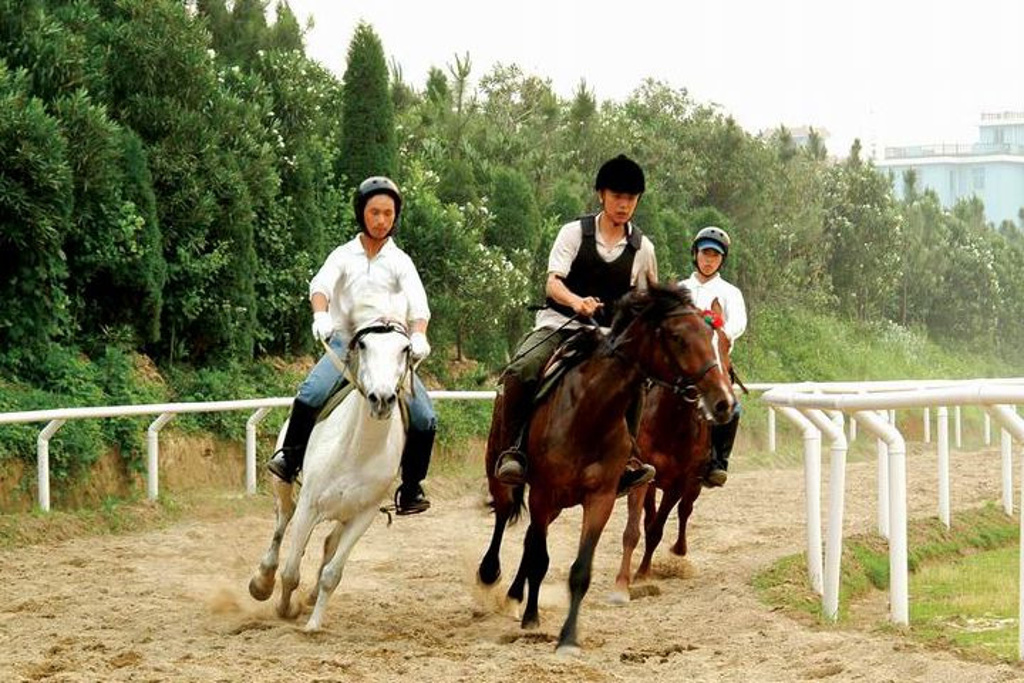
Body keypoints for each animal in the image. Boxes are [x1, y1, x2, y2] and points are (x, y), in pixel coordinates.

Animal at [248, 306, 413, 632]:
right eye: (364, 345)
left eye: (404, 349)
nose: (382, 399)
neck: (357, 449)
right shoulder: (309, 504)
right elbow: (290, 571)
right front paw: (285, 609)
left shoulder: (364, 515)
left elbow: (332, 574)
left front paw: (313, 623)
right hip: (284, 487)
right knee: (282, 524)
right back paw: (262, 581)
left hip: (344, 512)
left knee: (327, 544)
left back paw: (310, 598)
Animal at [611, 299, 736, 602]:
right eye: (686, 341)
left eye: (726, 342)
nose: (724, 400)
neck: (669, 421)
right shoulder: (643, 474)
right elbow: (634, 530)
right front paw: (623, 583)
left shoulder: (681, 482)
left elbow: (658, 529)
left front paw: (644, 572)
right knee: (650, 514)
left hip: (694, 484)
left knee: (684, 512)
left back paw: (679, 550)